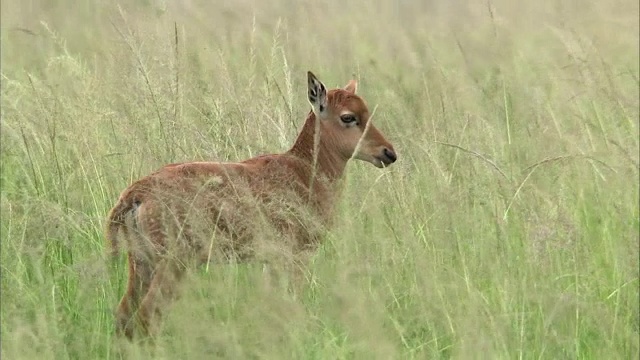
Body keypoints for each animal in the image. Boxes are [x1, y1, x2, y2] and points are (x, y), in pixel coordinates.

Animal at [107, 71, 398, 340]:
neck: (304, 169)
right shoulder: (296, 257)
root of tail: (136, 194)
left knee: (124, 317)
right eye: (348, 117)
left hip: (142, 265)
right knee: (147, 317)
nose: (388, 153)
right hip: (172, 266)